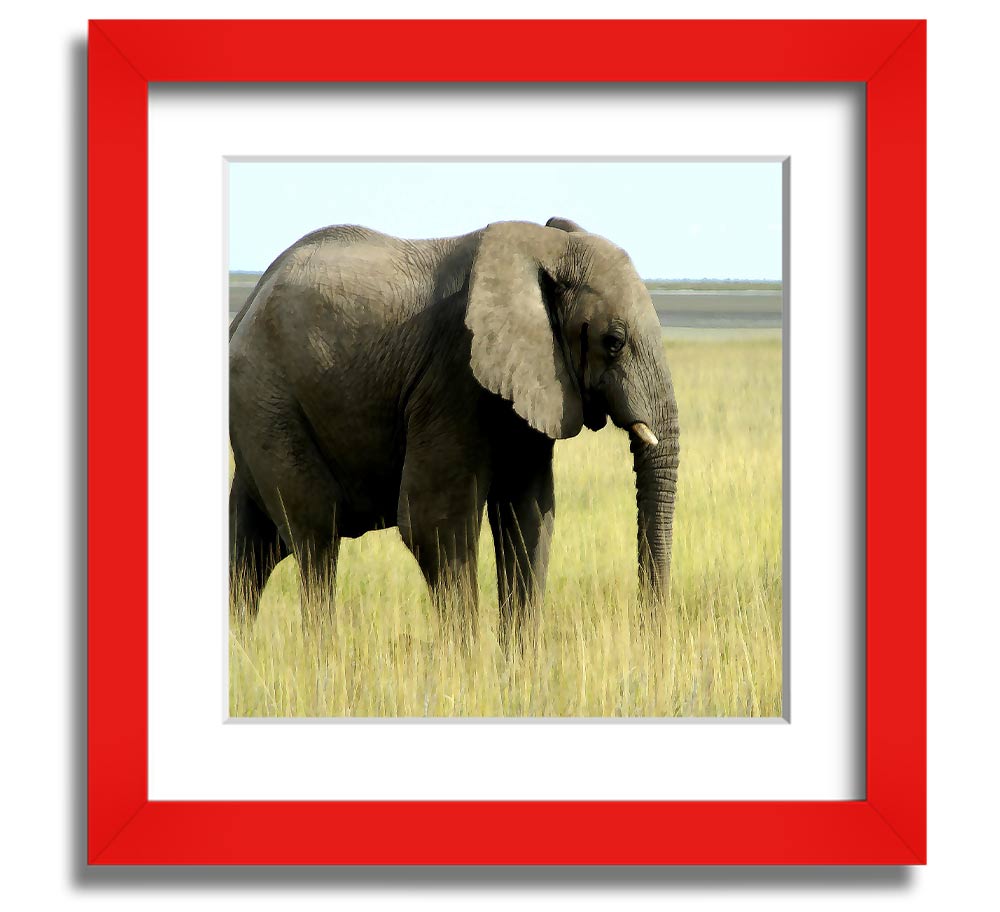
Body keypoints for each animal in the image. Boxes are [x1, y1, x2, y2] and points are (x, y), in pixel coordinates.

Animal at [229, 216, 679, 640]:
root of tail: (248, 304)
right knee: (315, 536)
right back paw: (323, 656)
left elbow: (530, 515)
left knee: (253, 544)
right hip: (268, 402)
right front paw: (466, 663)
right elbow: (436, 525)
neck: (543, 248)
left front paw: (518, 666)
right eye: (614, 341)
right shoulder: (452, 375)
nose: (647, 633)